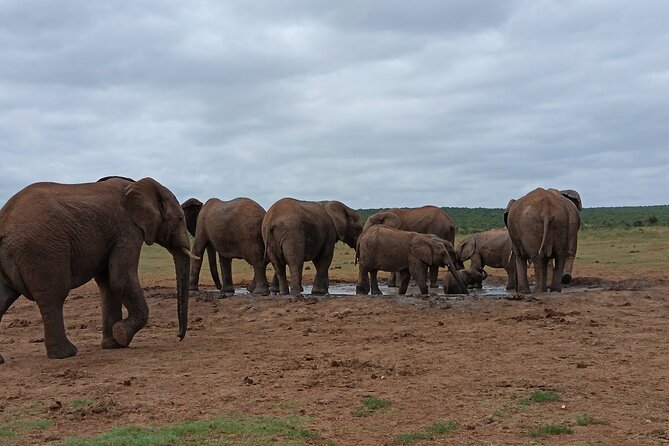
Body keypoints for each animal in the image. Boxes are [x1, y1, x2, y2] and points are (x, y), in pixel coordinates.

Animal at [0, 177, 194, 362]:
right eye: (180, 219)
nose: (178, 336)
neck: (138, 185)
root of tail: (4, 222)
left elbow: (108, 284)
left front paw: (113, 344)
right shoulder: (127, 229)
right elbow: (120, 279)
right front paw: (122, 335)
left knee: (4, 297)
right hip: (43, 250)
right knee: (54, 294)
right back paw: (66, 354)